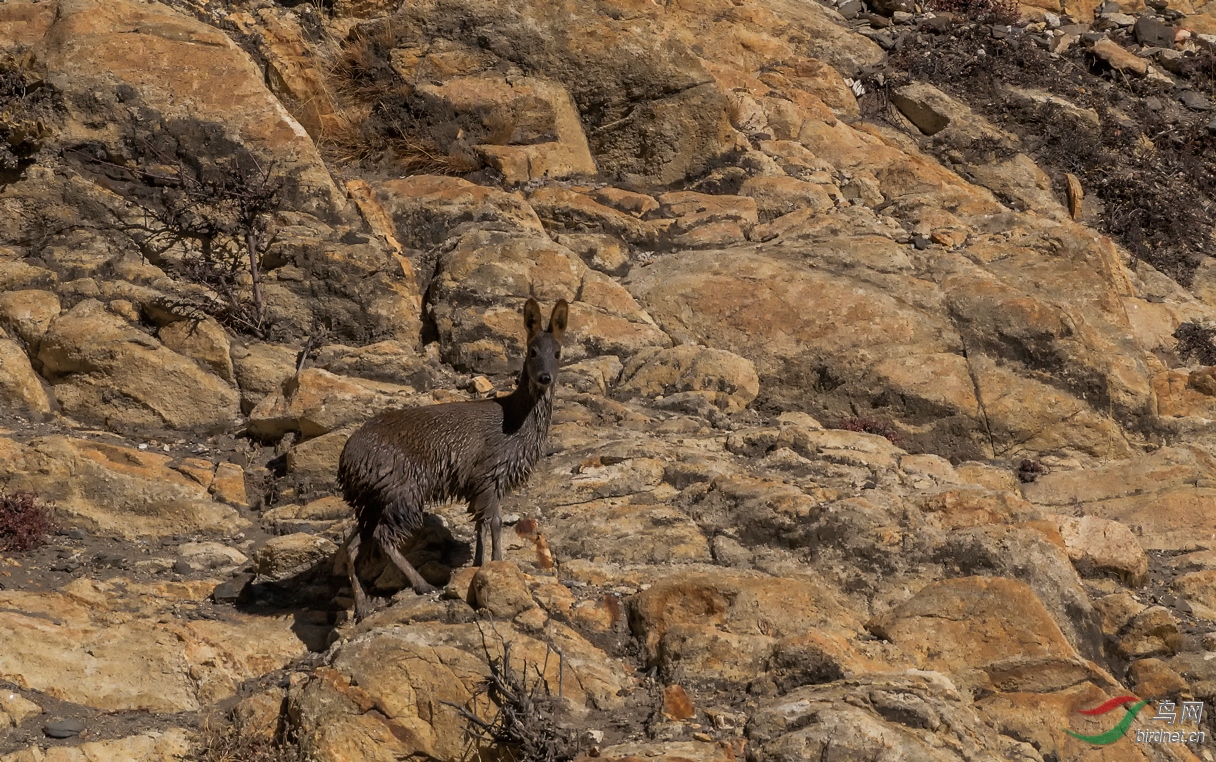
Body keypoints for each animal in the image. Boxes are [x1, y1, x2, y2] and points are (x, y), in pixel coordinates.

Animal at [338, 297, 569, 619]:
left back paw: (362, 606)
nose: (544, 378)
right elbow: (495, 521)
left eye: (558, 353)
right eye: (532, 351)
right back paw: (422, 585)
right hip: (404, 491)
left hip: (371, 500)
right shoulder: (490, 473)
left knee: (351, 545)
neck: (515, 421)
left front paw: (479, 564)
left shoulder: (476, 485)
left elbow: (480, 524)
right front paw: (499, 563)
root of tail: (347, 461)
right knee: (384, 538)